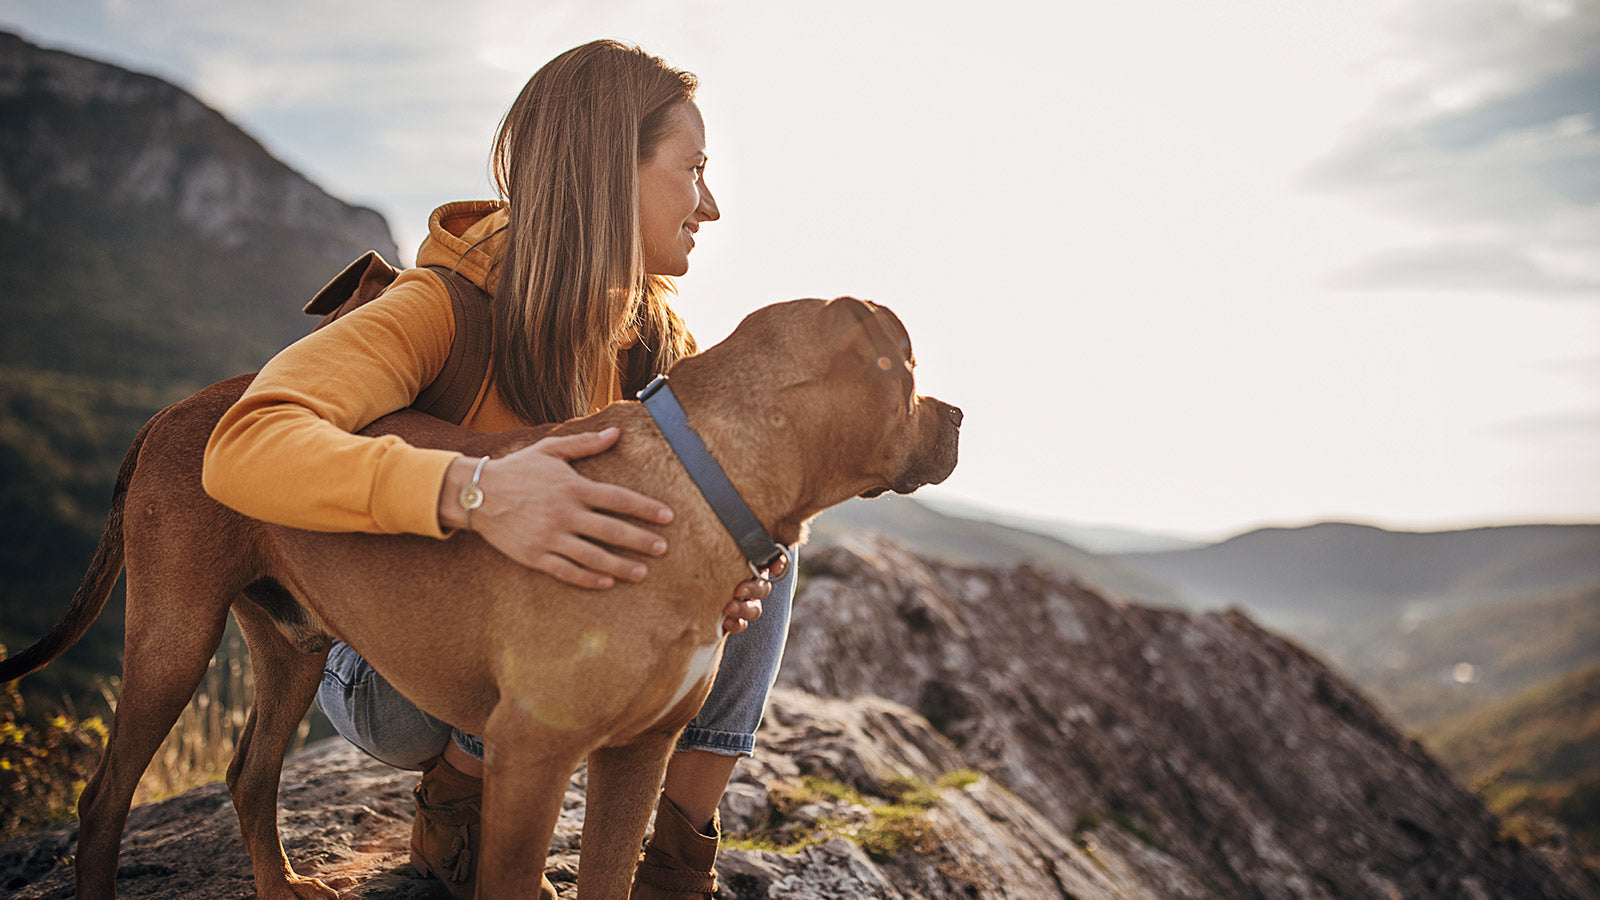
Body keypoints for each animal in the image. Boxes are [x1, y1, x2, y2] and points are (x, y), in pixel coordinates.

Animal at [0, 297, 960, 890]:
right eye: (911, 370)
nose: (959, 416)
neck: (703, 476)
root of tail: (176, 411)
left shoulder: (635, 755)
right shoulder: (534, 755)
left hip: (292, 645)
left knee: (249, 775)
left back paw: (280, 884)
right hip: (174, 636)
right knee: (104, 798)